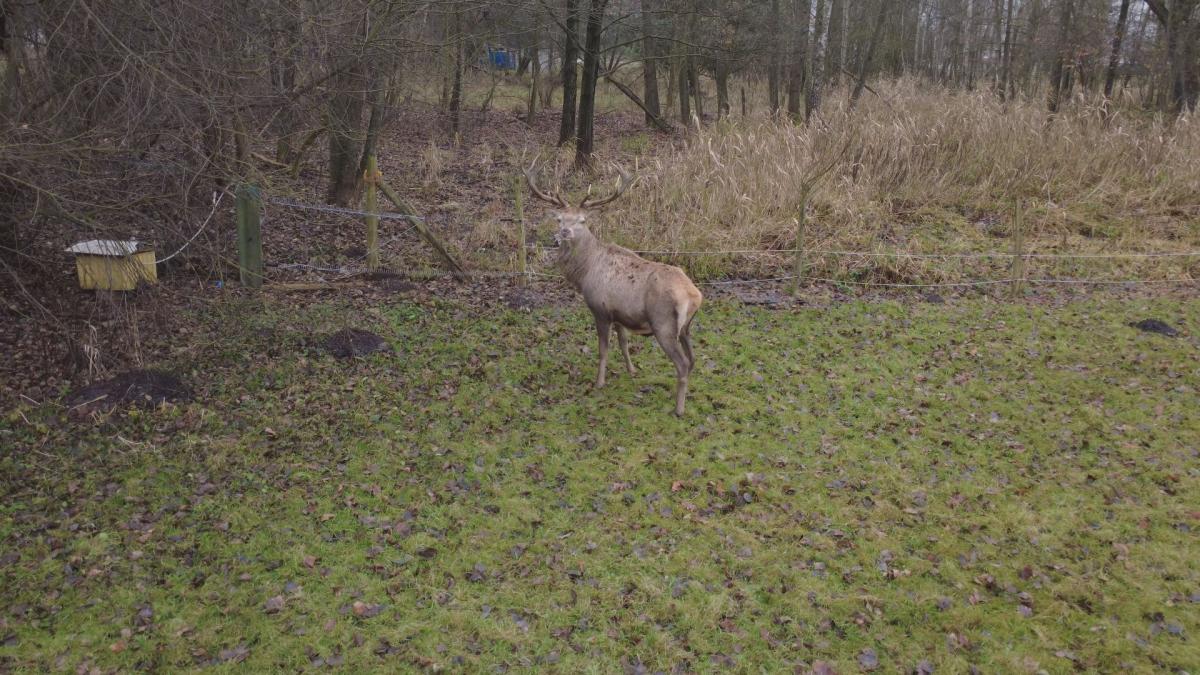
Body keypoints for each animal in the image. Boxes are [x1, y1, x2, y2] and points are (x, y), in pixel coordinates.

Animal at [525, 165, 703, 416]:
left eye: (582, 220)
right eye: (559, 219)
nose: (565, 232)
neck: (584, 273)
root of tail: (694, 295)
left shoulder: (600, 309)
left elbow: (603, 349)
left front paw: (599, 382)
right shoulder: (620, 314)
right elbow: (623, 343)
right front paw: (632, 370)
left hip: (664, 324)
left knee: (683, 363)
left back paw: (678, 409)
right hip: (686, 326)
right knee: (693, 359)